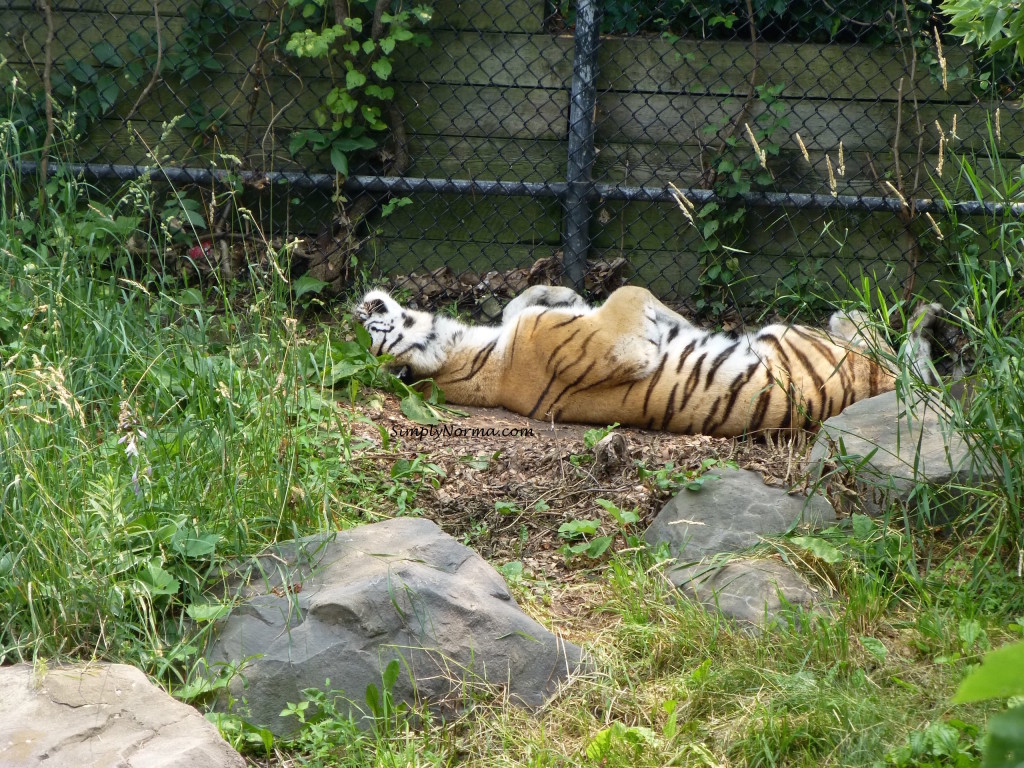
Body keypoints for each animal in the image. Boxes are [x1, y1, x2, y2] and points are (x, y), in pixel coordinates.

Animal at [356, 284, 937, 438]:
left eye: (368, 325)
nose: (363, 306)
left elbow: (523, 301)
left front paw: (555, 291)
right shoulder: (619, 341)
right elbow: (629, 292)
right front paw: (682, 323)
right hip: (804, 340)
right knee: (889, 349)